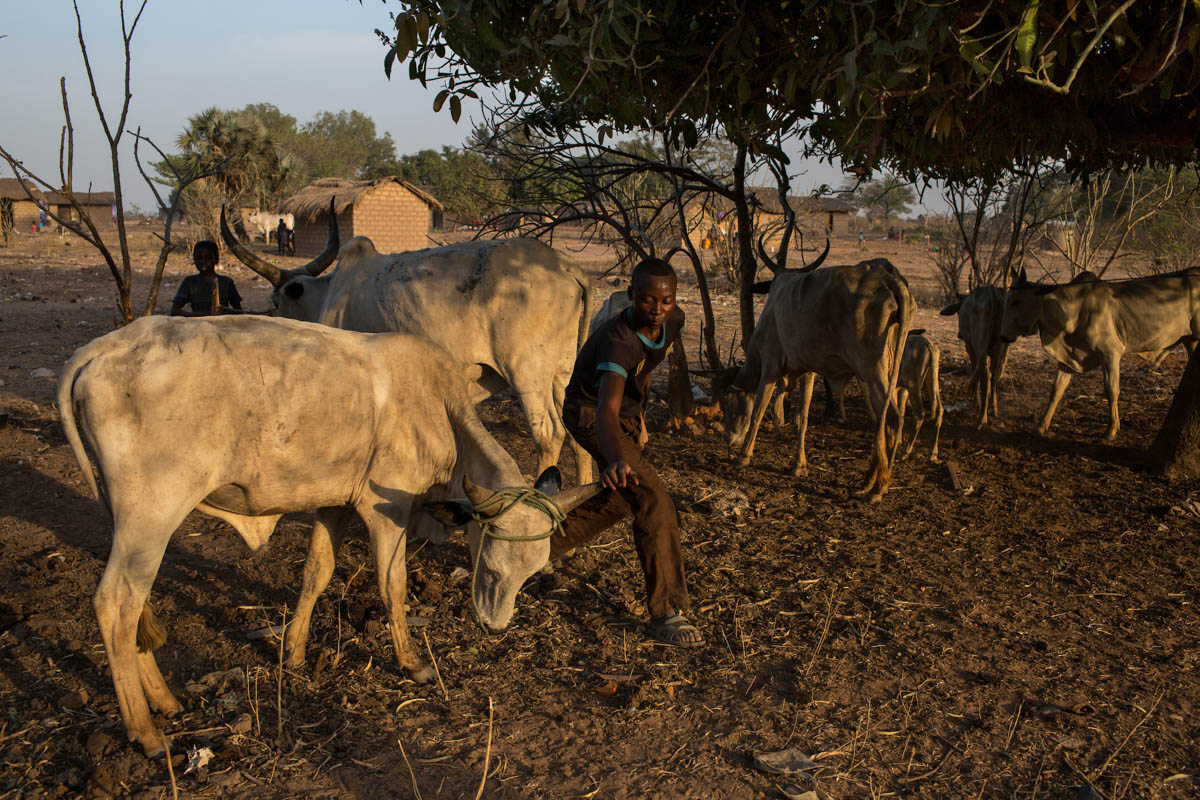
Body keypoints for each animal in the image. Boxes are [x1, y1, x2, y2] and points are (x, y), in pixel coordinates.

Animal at [58, 315, 600, 755]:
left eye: (533, 572)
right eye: (490, 560)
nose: (494, 626)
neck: (438, 406)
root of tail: (105, 347)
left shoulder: (335, 503)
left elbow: (317, 572)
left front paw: (294, 653)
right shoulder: (387, 510)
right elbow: (392, 584)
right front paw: (412, 663)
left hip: (132, 522)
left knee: (135, 608)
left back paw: (164, 701)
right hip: (151, 516)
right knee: (116, 603)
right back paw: (146, 731)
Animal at [220, 206, 594, 489]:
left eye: (276, 300)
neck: (331, 293)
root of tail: (564, 265)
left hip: (525, 370)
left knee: (549, 433)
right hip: (562, 369)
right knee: (575, 426)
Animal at [715, 258, 914, 501]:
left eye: (728, 404)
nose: (728, 439)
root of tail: (887, 276)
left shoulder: (770, 366)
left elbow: (758, 412)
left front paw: (744, 456)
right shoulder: (806, 371)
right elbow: (803, 418)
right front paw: (799, 466)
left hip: (872, 368)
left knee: (893, 417)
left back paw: (880, 487)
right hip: (890, 362)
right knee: (883, 418)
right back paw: (869, 480)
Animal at [939, 286, 1010, 427]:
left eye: (959, 312)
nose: (959, 334)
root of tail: (993, 292)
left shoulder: (970, 346)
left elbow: (974, 368)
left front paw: (976, 402)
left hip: (979, 343)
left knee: (985, 374)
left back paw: (982, 417)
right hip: (999, 347)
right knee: (994, 374)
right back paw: (993, 409)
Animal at [1000, 265, 1200, 439]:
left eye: (1016, 301)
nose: (1003, 336)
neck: (1072, 308)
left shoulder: (1110, 353)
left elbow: (1111, 390)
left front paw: (1111, 430)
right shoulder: (1067, 359)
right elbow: (1056, 390)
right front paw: (1041, 427)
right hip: (1191, 341)